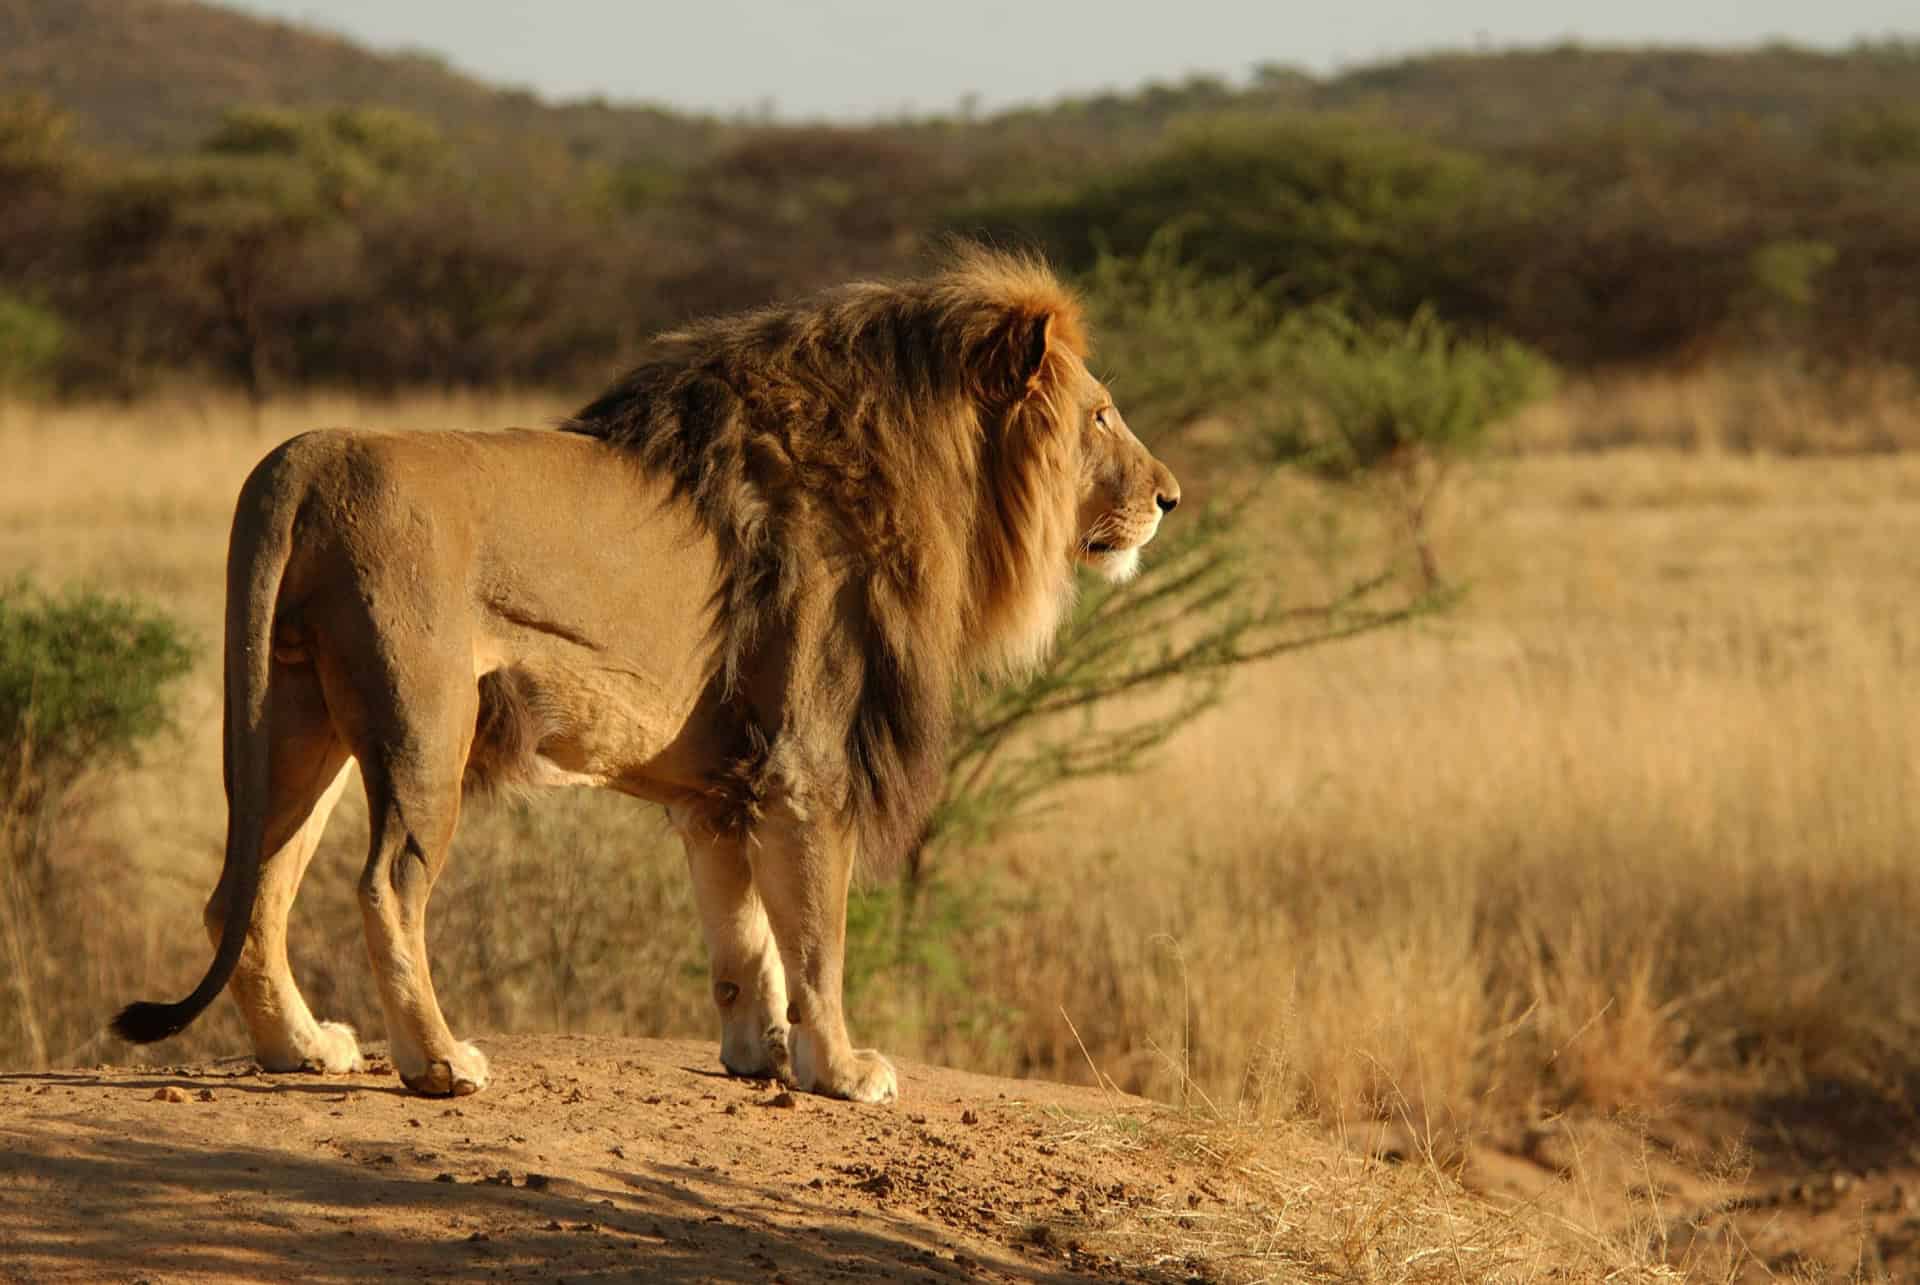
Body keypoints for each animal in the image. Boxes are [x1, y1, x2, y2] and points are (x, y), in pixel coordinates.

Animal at [116, 249, 1182, 1106]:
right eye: (1100, 416)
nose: (1171, 497)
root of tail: (306, 452)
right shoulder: (807, 765)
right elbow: (819, 938)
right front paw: (839, 1069)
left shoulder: (722, 785)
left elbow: (743, 933)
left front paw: (760, 1052)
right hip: (423, 722)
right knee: (386, 887)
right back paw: (439, 1062)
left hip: (299, 722)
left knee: (248, 889)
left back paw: (299, 1047)